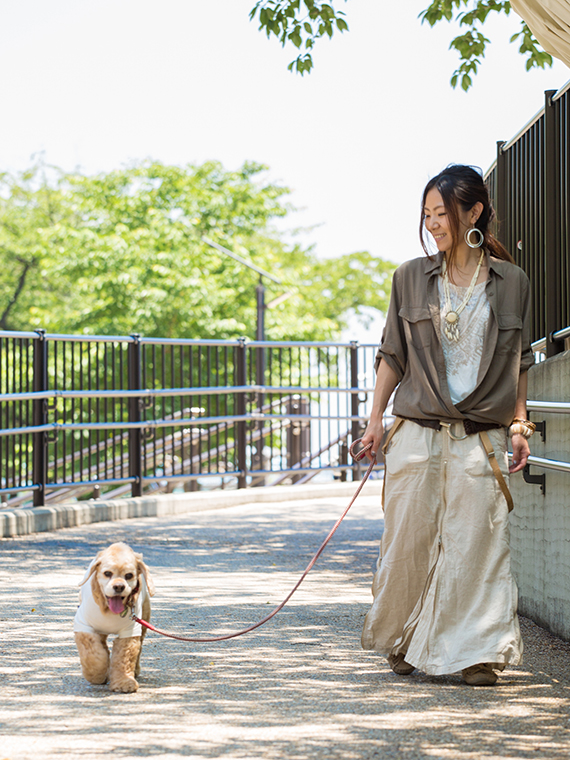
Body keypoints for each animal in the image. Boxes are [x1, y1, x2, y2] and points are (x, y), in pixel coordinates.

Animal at [73, 540, 154, 696]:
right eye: (107, 573)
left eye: (129, 575)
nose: (119, 586)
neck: (109, 611)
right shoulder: (84, 627)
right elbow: (93, 656)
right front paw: (97, 674)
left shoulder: (130, 632)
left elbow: (124, 658)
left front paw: (124, 682)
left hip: (144, 622)